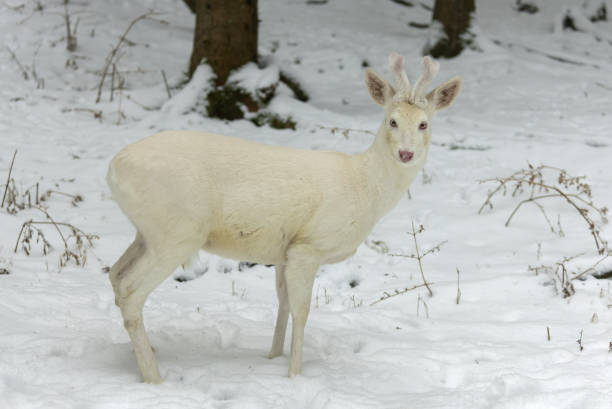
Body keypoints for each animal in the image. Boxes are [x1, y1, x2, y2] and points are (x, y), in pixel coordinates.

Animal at [107, 52, 462, 380]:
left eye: (424, 123)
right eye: (392, 120)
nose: (406, 153)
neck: (362, 187)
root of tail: (113, 169)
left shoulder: (283, 250)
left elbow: (284, 302)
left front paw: (273, 356)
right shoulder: (309, 245)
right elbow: (302, 311)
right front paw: (294, 374)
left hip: (148, 232)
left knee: (115, 274)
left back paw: (144, 351)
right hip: (177, 232)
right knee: (131, 290)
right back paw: (153, 376)